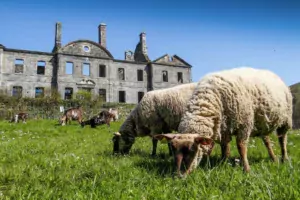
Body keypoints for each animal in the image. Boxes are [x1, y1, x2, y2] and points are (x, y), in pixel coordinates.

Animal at [155, 67, 292, 177]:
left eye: (192, 150)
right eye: (172, 149)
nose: (179, 176)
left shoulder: (244, 123)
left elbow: (241, 146)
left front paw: (246, 169)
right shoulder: (224, 128)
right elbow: (225, 148)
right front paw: (223, 163)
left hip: (285, 120)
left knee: (282, 139)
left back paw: (284, 158)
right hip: (262, 124)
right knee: (267, 141)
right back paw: (274, 158)